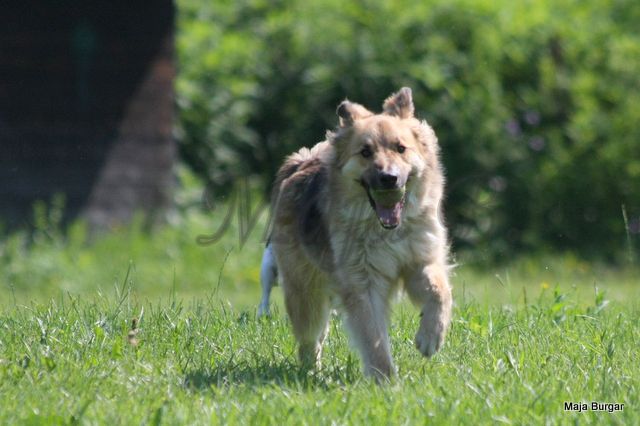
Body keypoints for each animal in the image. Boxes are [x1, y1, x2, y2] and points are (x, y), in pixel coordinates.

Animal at [258, 87, 452, 380]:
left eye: (401, 148)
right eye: (365, 152)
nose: (389, 178)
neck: (384, 231)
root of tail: (301, 163)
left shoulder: (419, 261)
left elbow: (440, 292)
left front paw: (430, 338)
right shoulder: (362, 284)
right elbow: (373, 337)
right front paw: (386, 380)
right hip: (304, 293)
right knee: (309, 338)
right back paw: (311, 372)